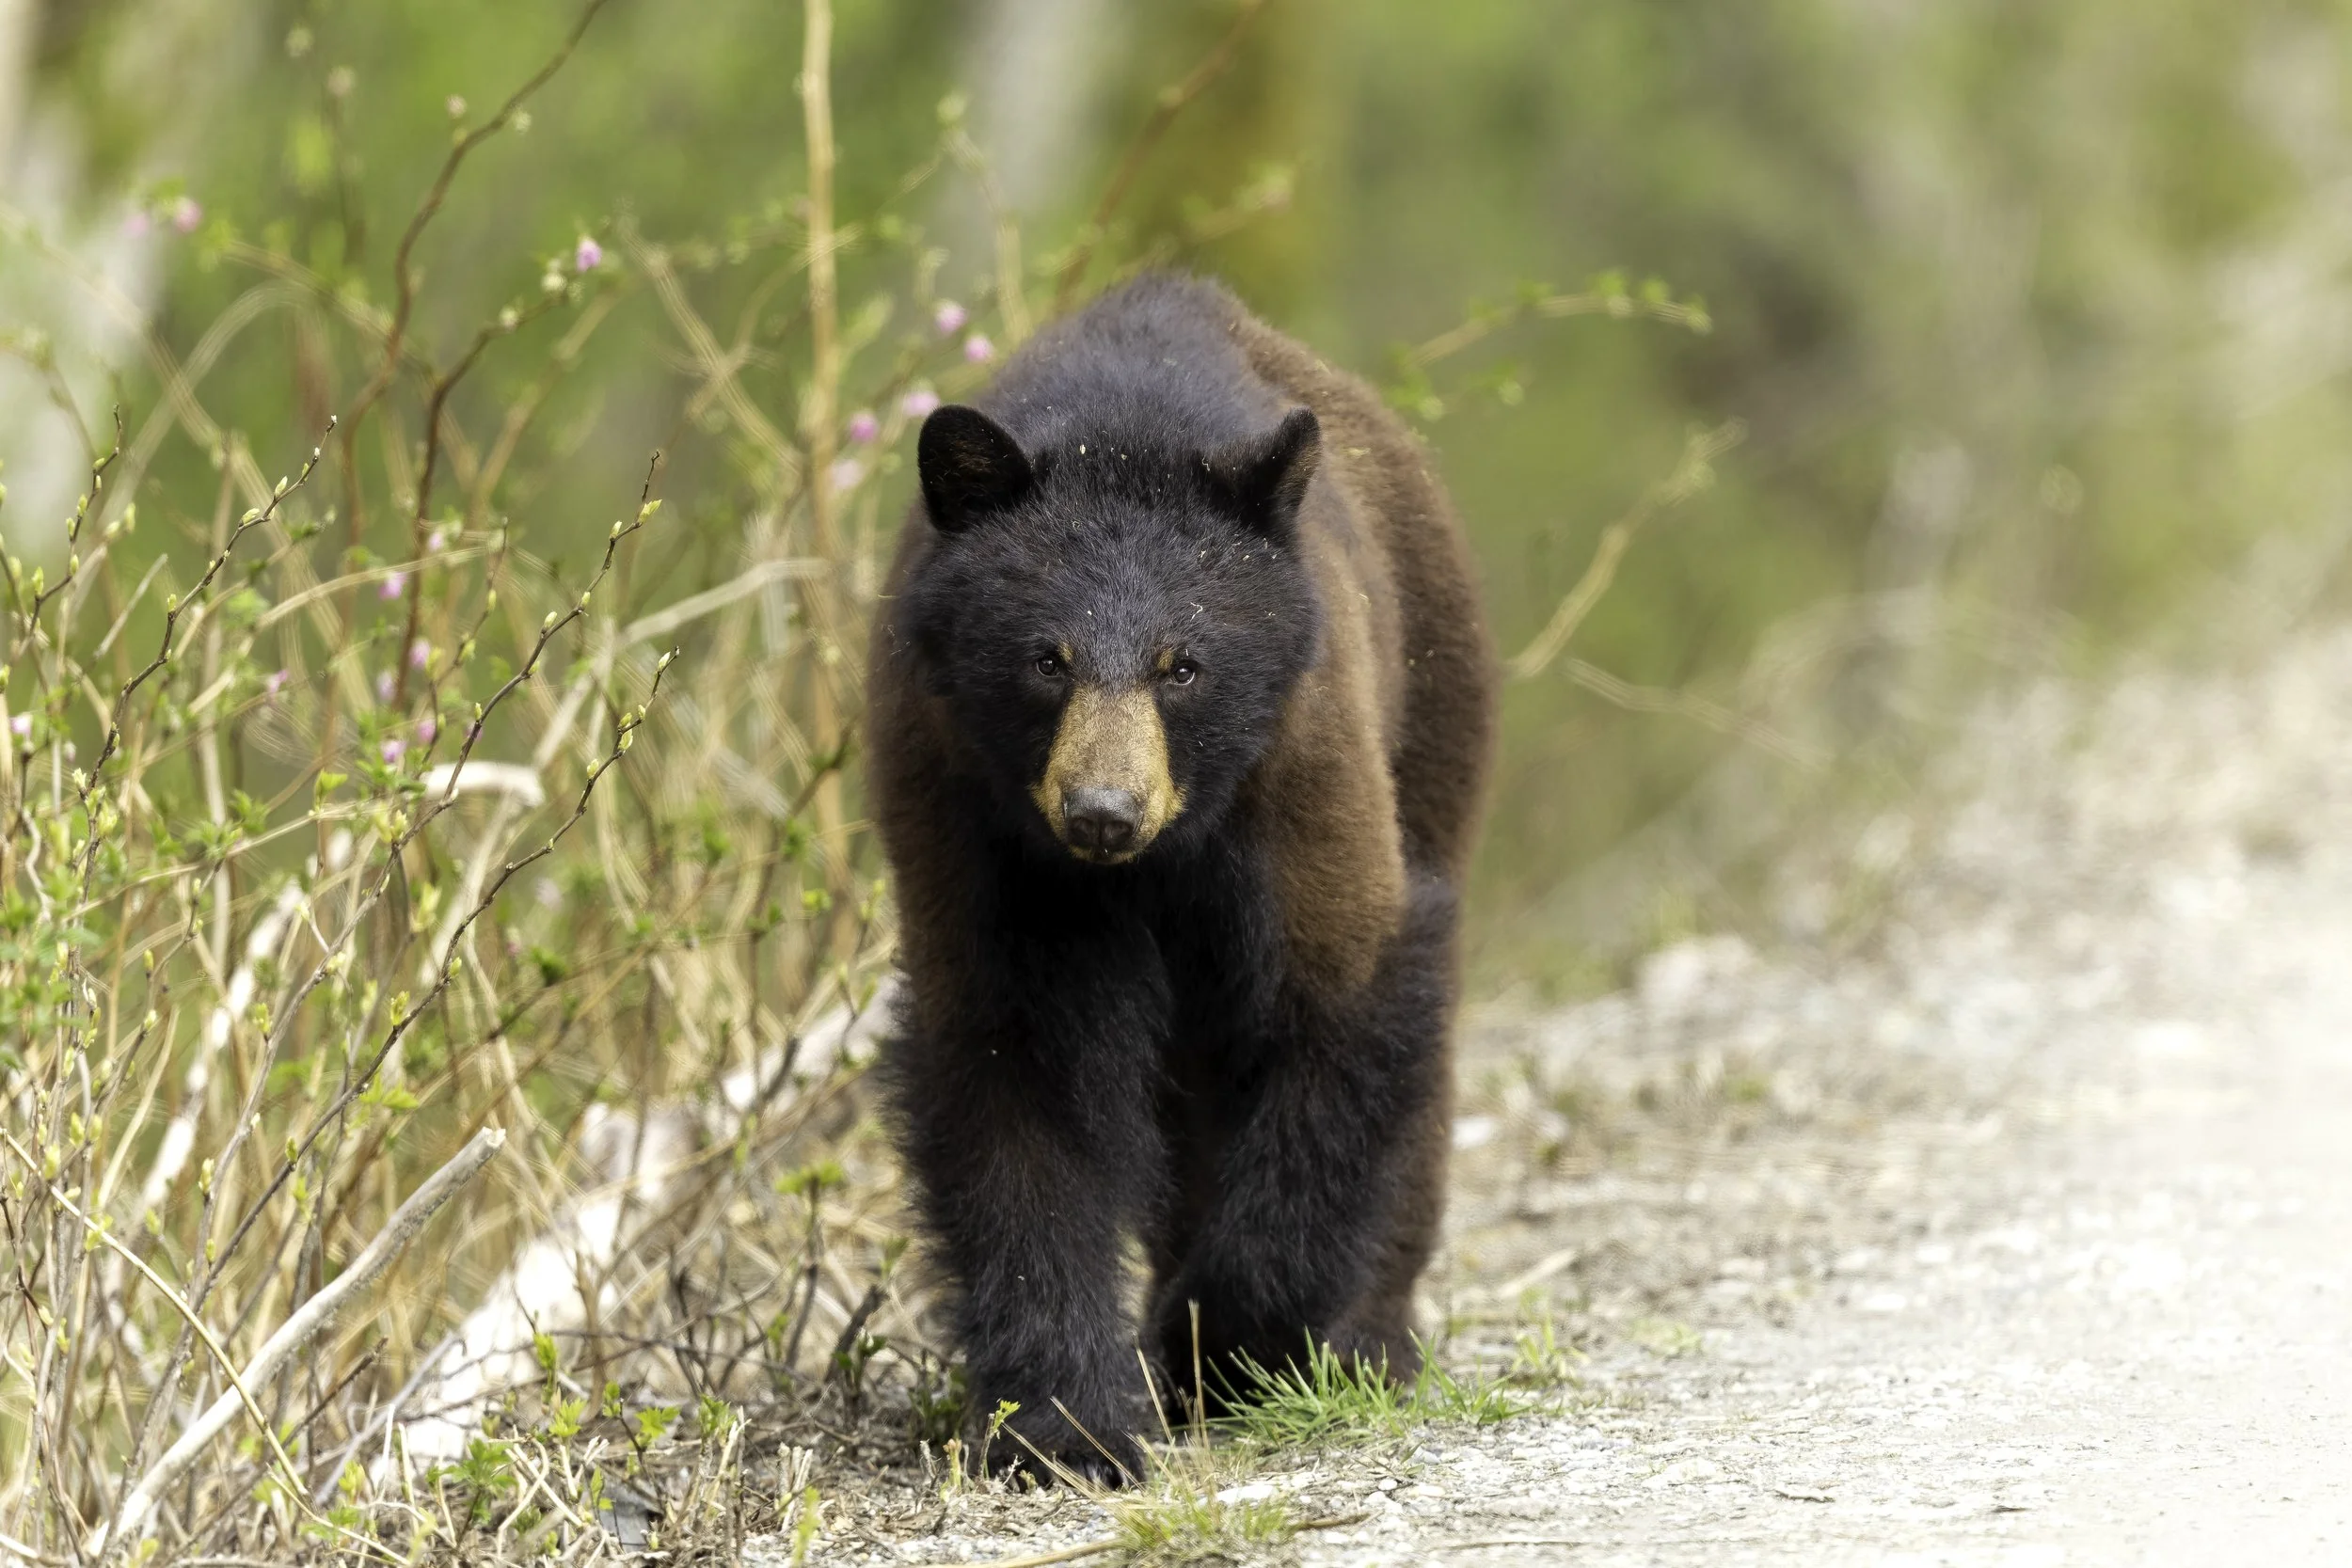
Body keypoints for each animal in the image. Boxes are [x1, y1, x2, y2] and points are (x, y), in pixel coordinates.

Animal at [866, 273, 1495, 1484]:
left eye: (1183, 665)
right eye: (1046, 658)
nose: (1102, 811)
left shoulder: (1298, 768)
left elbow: (1332, 1009)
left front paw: (1229, 1340)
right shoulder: (976, 817)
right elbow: (1022, 1081)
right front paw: (1067, 1421)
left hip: (1433, 711)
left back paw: (1371, 1340)